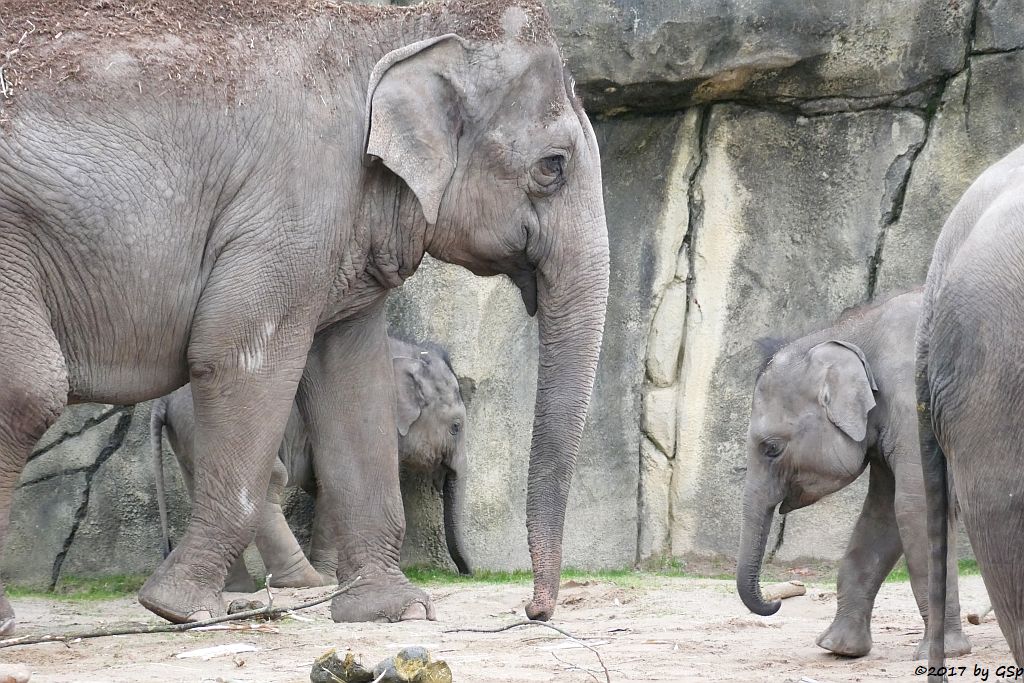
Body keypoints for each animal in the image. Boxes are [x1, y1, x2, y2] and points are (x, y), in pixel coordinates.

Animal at [151, 335, 471, 593]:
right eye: (456, 427)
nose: (466, 573)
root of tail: (163, 402)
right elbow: (334, 484)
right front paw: (334, 578)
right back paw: (305, 582)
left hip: (188, 434)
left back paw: (238, 589)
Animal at [737, 290, 966, 663]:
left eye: (771, 448)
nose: (775, 602)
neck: (851, 331)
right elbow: (882, 516)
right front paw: (838, 648)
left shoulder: (915, 405)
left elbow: (915, 508)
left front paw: (943, 652)